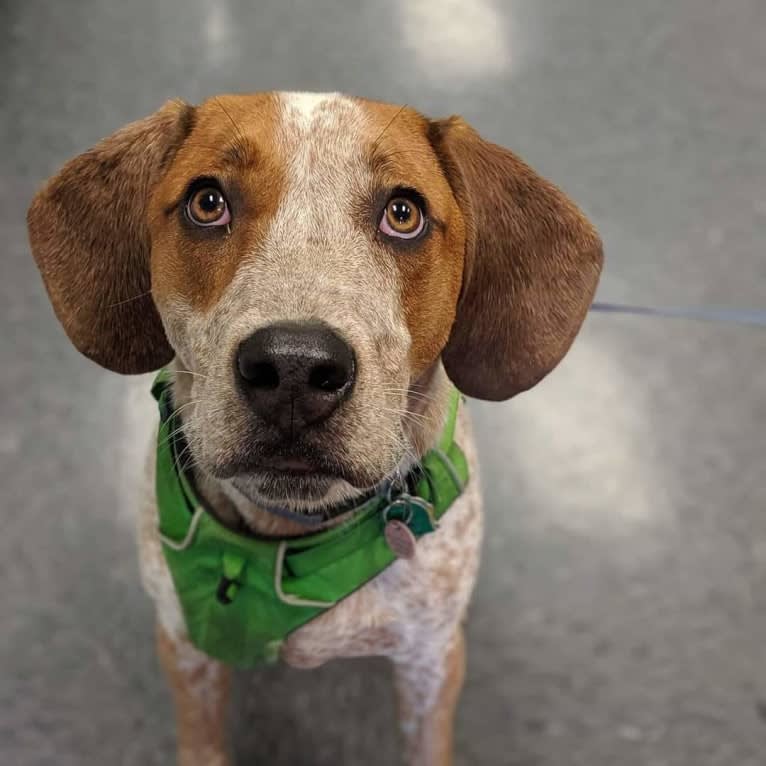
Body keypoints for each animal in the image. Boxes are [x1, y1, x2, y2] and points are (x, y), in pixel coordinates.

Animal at [25, 93, 608, 764]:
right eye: (207, 201)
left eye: (403, 213)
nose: (294, 369)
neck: (292, 542)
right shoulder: (184, 644)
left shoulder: (430, 661)